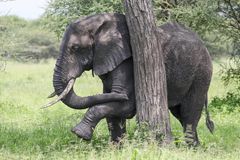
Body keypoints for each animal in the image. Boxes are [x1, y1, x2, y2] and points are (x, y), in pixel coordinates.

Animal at [45, 13, 214, 146]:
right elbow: (110, 106)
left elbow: (126, 105)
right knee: (180, 114)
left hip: (202, 72)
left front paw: (79, 133)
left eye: (75, 48)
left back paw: (190, 148)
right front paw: (116, 149)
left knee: (189, 113)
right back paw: (196, 147)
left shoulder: (128, 61)